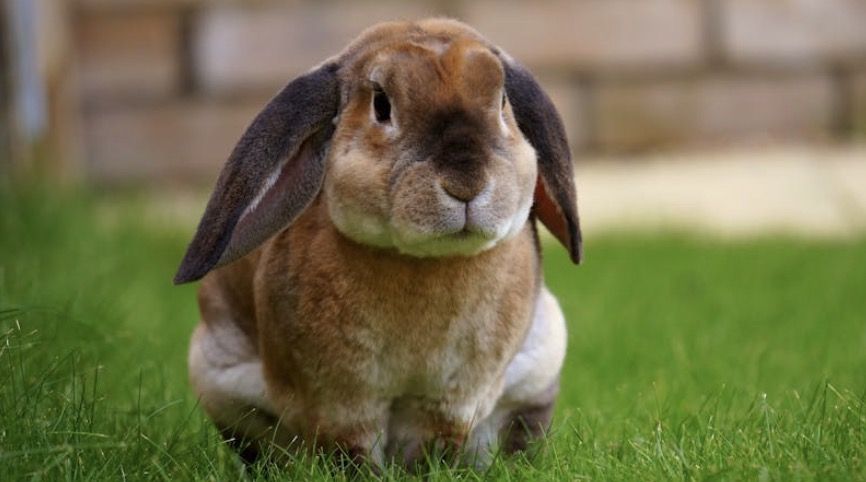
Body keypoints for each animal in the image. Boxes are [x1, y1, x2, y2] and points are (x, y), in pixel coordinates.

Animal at [174, 17, 580, 470]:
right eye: (381, 105)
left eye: (503, 101)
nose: (466, 183)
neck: (424, 262)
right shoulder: (340, 402)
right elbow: (351, 450)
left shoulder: (451, 401)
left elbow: (434, 445)